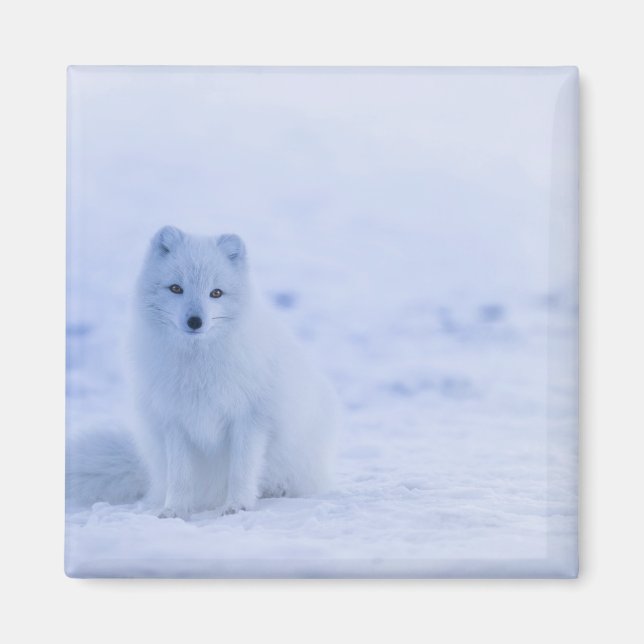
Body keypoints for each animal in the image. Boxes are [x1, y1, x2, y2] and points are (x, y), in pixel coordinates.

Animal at [66, 226, 340, 518]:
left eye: (216, 293)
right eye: (176, 288)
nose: (195, 321)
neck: (198, 366)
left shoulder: (250, 419)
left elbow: (241, 470)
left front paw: (237, 506)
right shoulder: (174, 421)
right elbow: (180, 476)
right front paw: (174, 510)